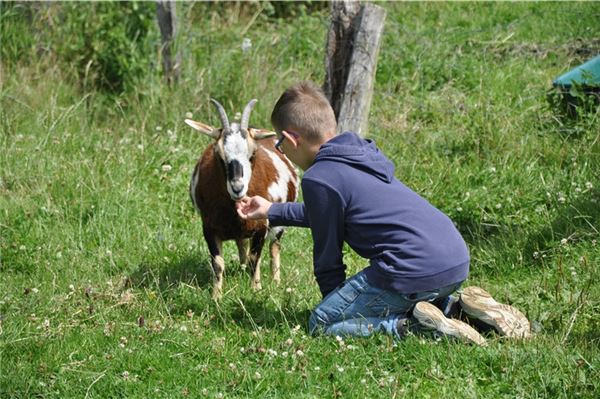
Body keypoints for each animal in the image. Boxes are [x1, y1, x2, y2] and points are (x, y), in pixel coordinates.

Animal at [183, 99, 296, 300]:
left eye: (253, 154)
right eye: (219, 154)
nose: (237, 188)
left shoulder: (261, 226)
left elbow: (255, 259)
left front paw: (255, 290)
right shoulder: (209, 228)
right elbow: (218, 263)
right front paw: (216, 296)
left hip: (278, 224)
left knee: (273, 248)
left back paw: (275, 282)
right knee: (242, 245)